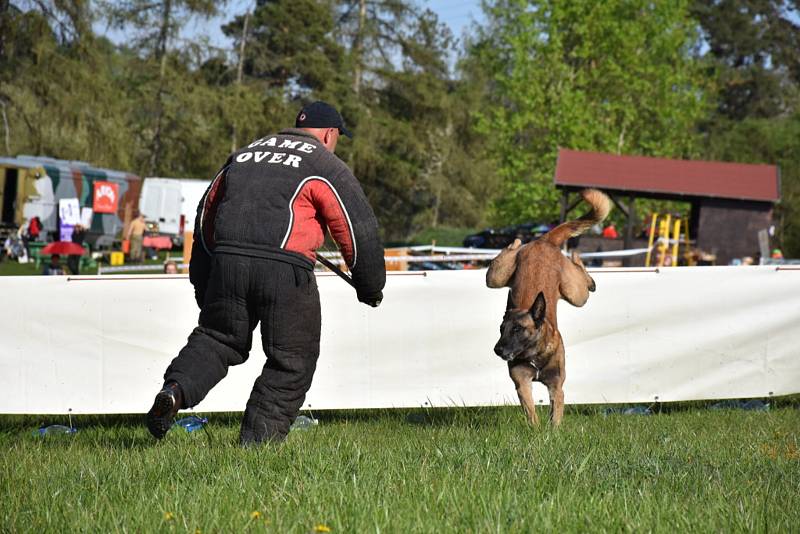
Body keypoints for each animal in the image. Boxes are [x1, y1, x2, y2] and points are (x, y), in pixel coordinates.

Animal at [488, 188, 612, 428]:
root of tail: (543, 241)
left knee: (581, 274)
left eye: (517, 329)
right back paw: (515, 242)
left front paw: (552, 431)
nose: (497, 350)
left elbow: (556, 413)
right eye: (501, 329)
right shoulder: (523, 384)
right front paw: (536, 430)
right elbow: (531, 411)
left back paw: (582, 267)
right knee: (507, 255)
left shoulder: (556, 386)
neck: (535, 354)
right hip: (496, 278)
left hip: (575, 293)